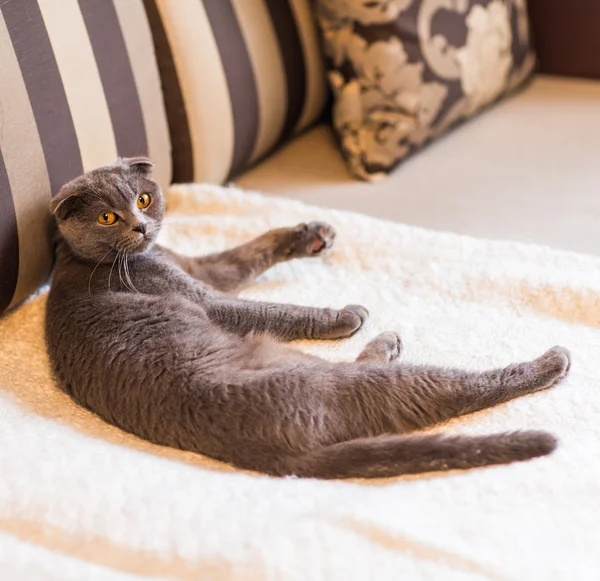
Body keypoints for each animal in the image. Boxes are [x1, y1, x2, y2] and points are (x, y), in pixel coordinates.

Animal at [44, 156, 568, 478]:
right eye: (107, 217)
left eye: (144, 199)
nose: (140, 225)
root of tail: (284, 458)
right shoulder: (203, 296)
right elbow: (272, 310)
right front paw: (344, 314)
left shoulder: (204, 269)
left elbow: (248, 252)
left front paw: (310, 235)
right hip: (338, 383)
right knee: (446, 387)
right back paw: (549, 362)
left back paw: (388, 343)